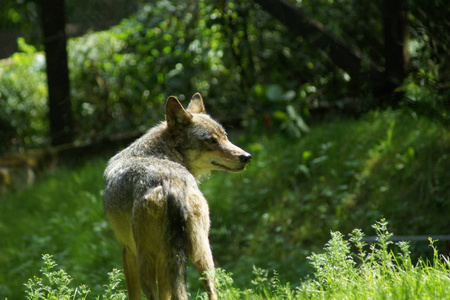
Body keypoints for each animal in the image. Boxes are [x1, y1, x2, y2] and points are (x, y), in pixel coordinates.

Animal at [102, 92, 251, 298]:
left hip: (147, 262)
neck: (162, 153)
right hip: (202, 255)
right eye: (212, 140)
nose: (246, 157)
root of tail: (171, 182)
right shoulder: (165, 260)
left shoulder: (128, 252)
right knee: (211, 293)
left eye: (225, 137)